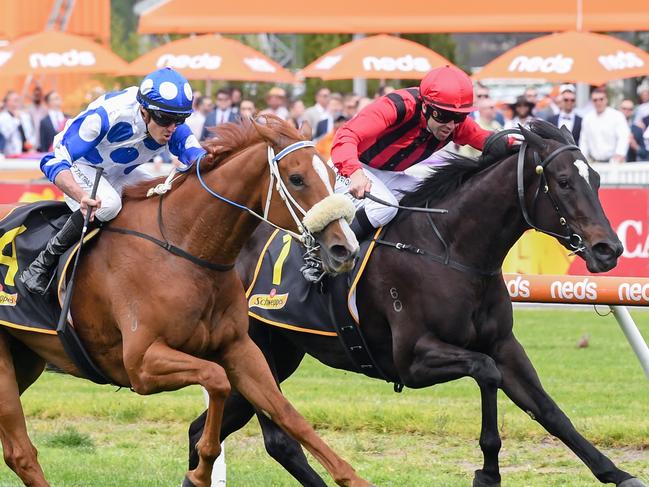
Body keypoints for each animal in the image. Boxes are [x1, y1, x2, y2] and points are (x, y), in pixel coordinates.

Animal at [0, 117, 370, 487]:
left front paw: (353, 478)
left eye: (330, 174)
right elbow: (216, 379)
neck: (185, 248)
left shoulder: (239, 348)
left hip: (26, 360)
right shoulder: (141, 364)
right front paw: (200, 472)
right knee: (21, 453)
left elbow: (287, 413)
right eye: (296, 178)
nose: (345, 249)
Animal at [187, 120, 644, 486]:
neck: (451, 251)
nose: (608, 249)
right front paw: (487, 472)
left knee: (200, 431)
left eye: (597, 179)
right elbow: (487, 372)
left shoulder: (504, 345)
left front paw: (617, 473)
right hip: (257, 351)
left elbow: (549, 410)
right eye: (563, 181)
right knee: (280, 441)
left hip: (276, 356)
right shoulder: (413, 359)